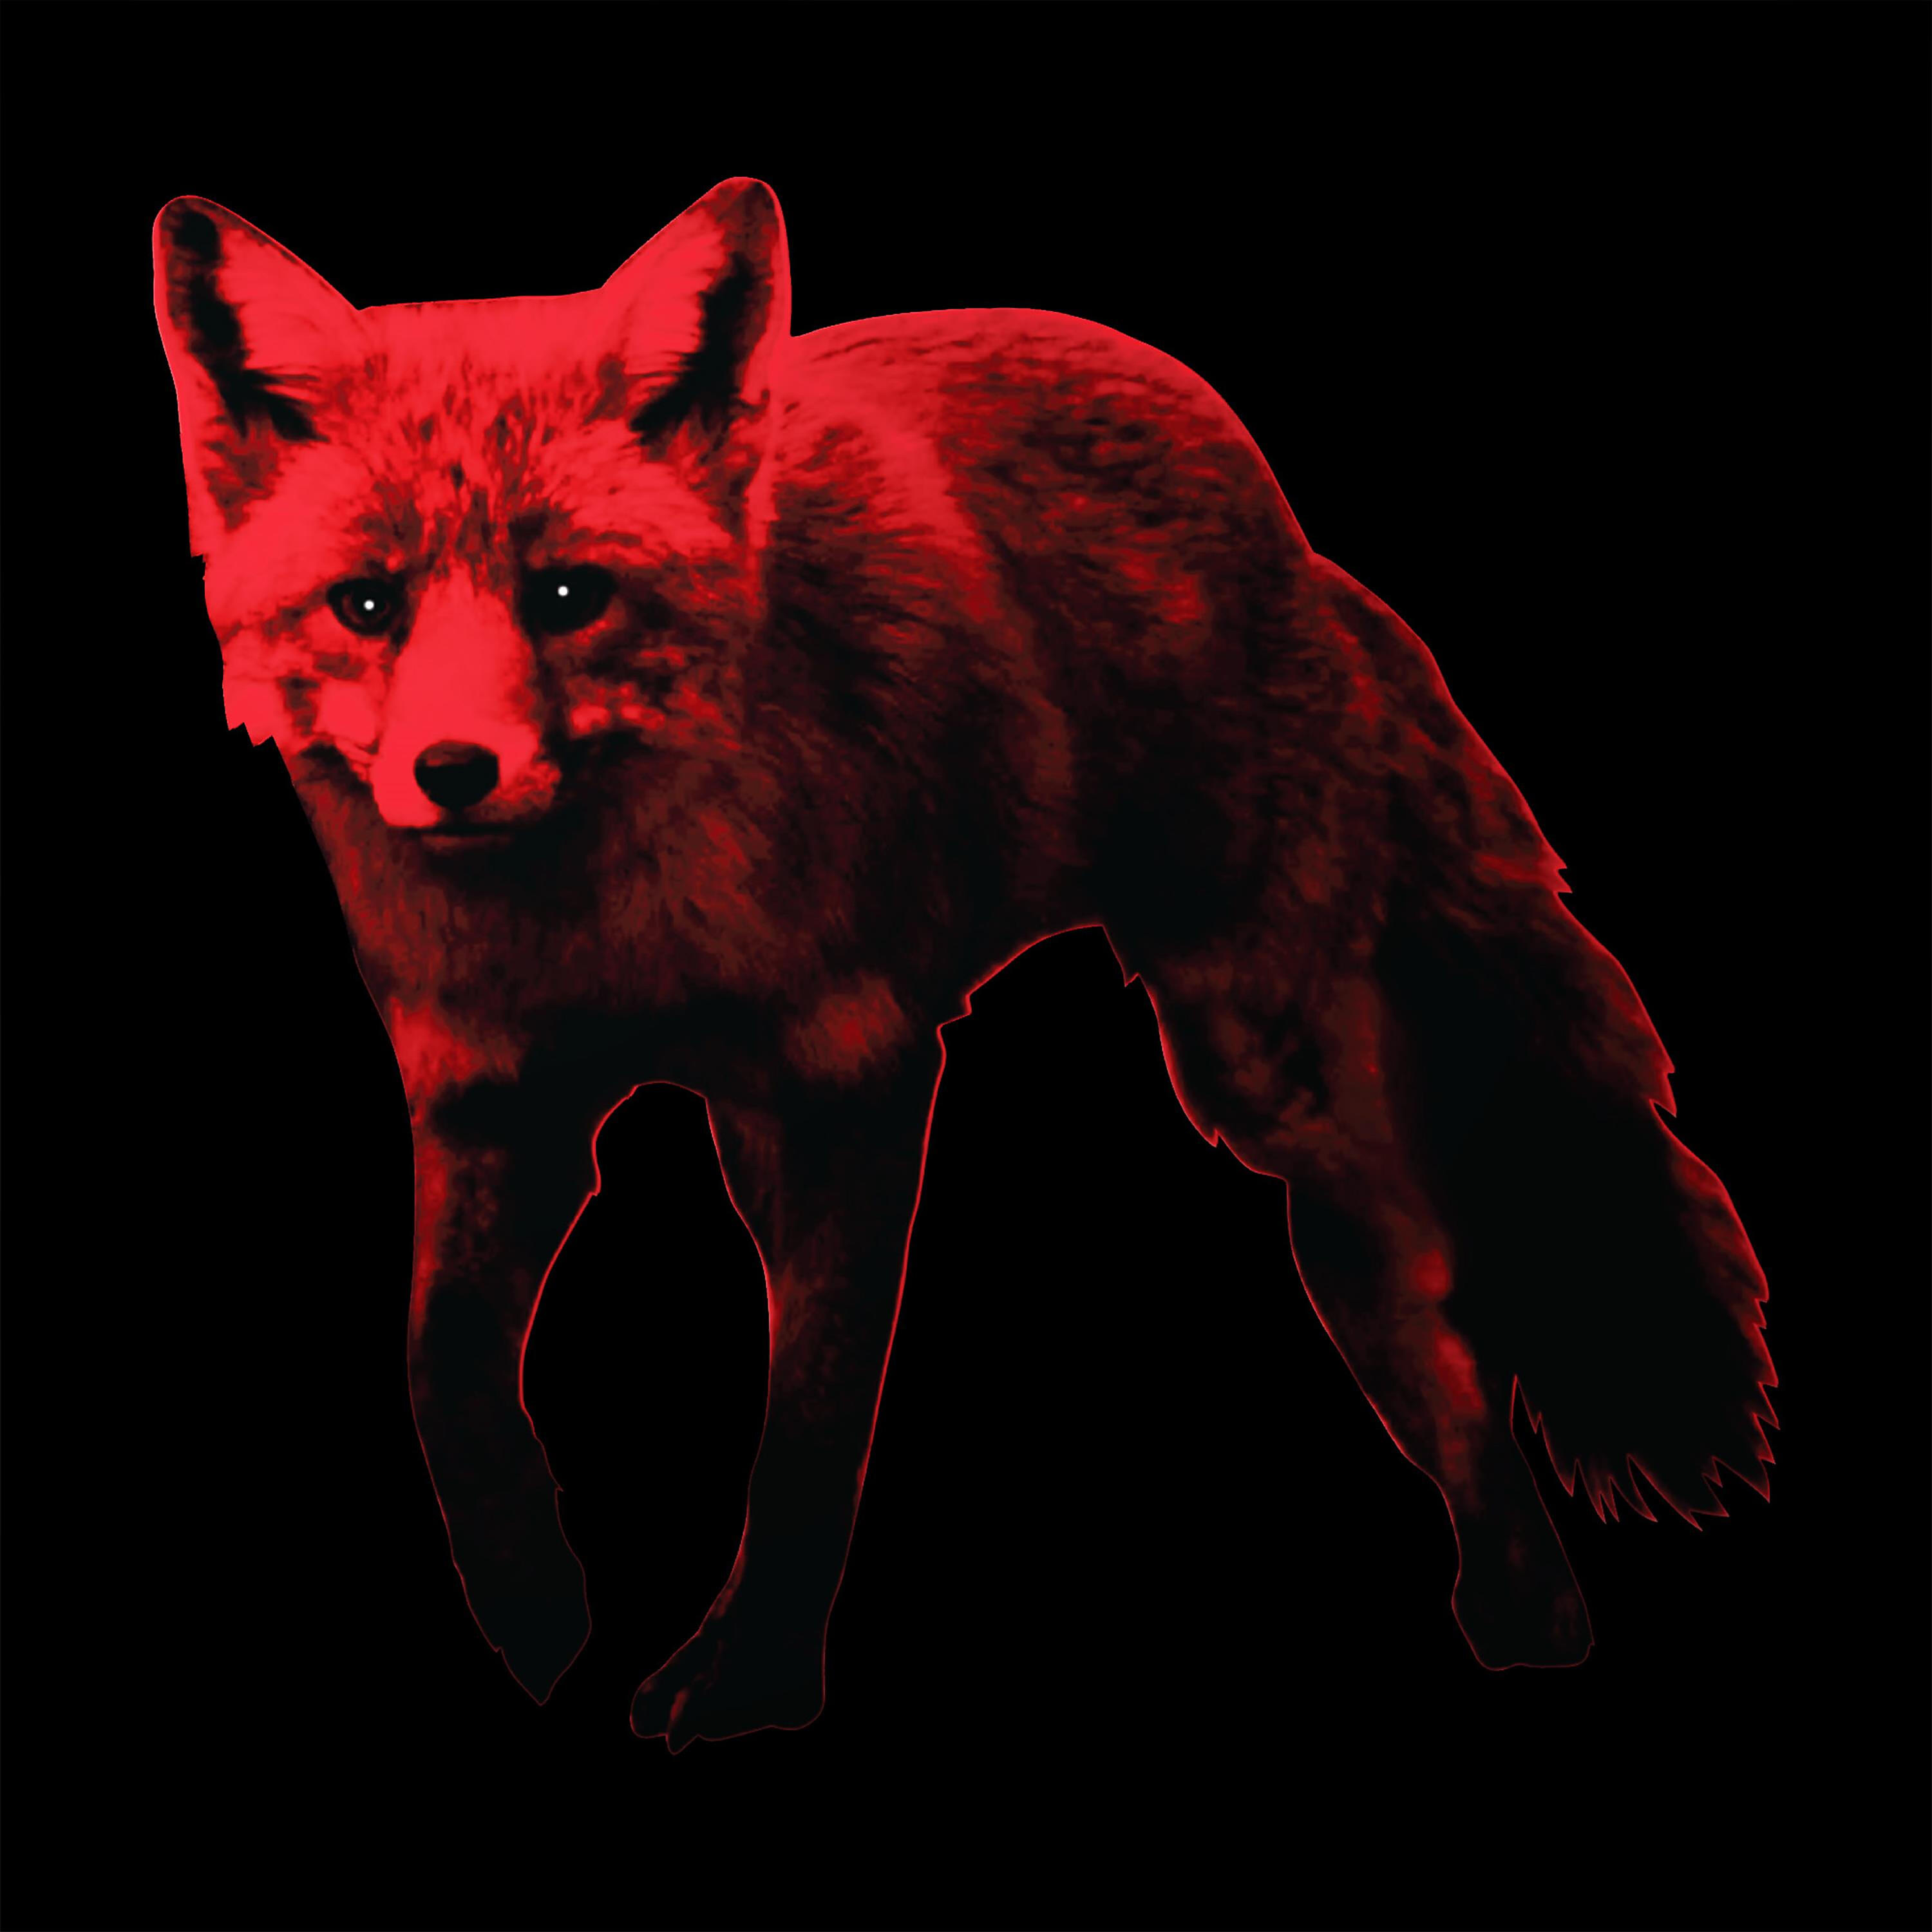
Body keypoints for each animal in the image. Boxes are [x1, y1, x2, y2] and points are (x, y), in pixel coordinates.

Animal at [153, 178, 1776, 1750]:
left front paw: (746, 1683)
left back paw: (1524, 1608)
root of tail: (1284, 515)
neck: (610, 934)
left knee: (1437, 1318)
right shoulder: (493, 1100)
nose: (452, 771)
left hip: (1263, 1079)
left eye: (566, 596)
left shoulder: (851, 1083)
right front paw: (537, 1612)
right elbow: (441, 1376)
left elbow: (810, 1423)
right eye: (368, 605)